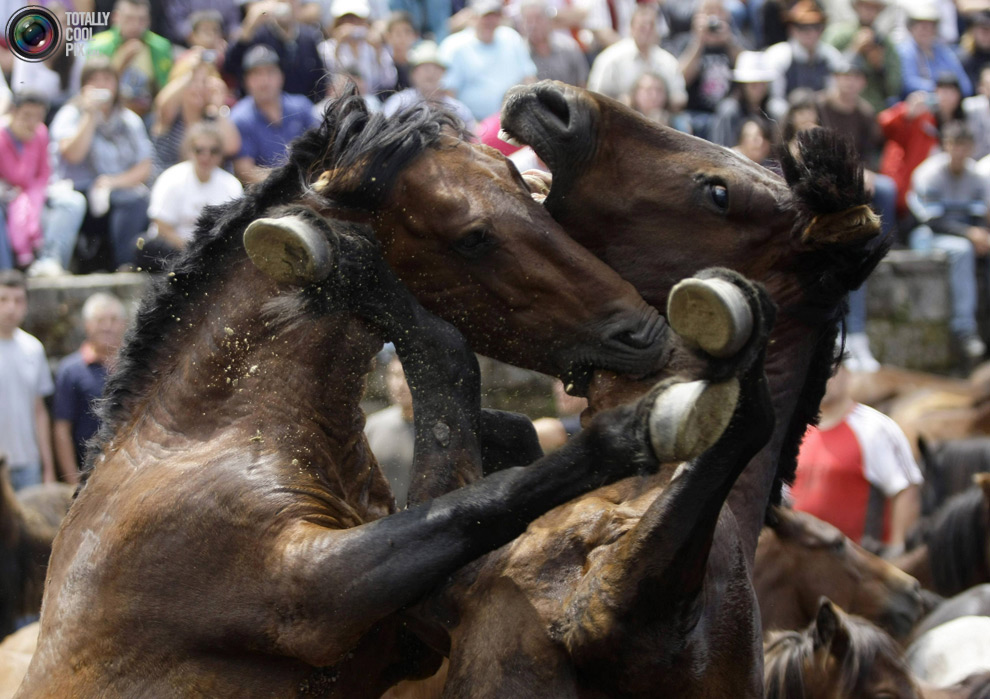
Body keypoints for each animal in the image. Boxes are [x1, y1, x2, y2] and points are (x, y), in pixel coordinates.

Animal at [13, 98, 680, 699]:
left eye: (518, 179)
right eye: (473, 237)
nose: (645, 333)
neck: (212, 437)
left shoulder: (413, 630)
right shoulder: (317, 596)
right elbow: (479, 491)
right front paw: (638, 428)